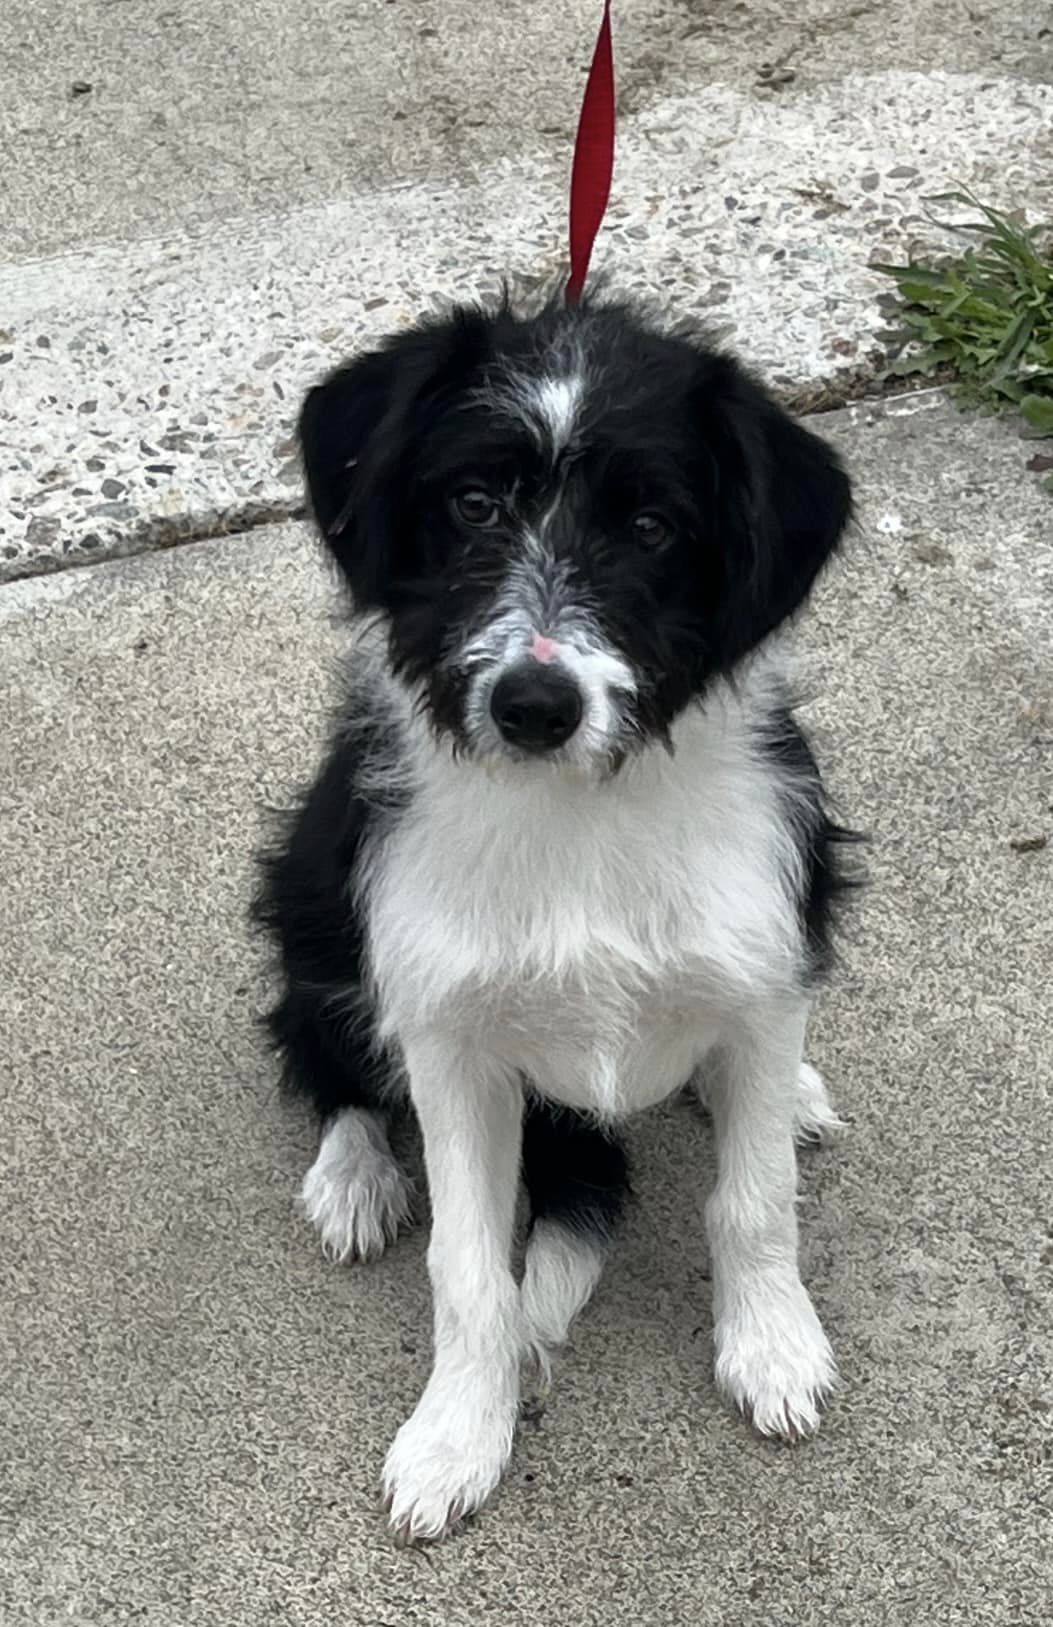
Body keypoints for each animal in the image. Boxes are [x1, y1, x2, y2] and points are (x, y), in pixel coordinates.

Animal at [255, 289, 859, 1535]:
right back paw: (354, 1174)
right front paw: (456, 1436)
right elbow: (469, 1264)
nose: (533, 703)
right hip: (311, 888)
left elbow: (756, 1198)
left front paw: (772, 1346)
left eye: (654, 526)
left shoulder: (764, 960)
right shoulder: (450, 1040)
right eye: (473, 503)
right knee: (319, 1045)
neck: (581, 812)